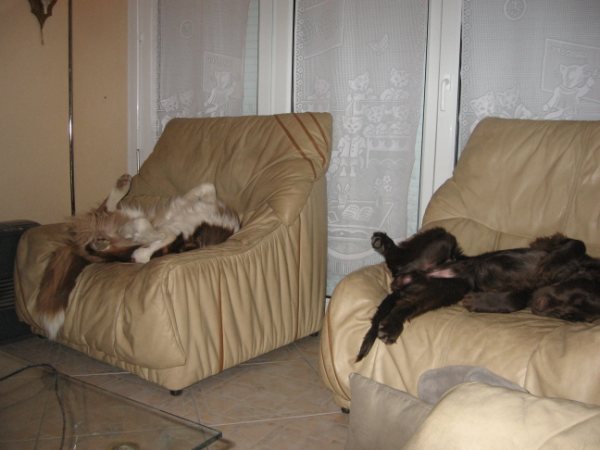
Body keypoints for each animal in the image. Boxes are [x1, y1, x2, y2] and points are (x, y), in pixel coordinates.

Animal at [36, 174, 240, 339]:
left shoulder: (176, 242)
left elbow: (151, 243)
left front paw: (140, 244)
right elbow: (207, 186)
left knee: (112, 232)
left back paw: (108, 238)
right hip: (127, 213)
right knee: (107, 210)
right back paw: (122, 189)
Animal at [356, 228, 600, 361]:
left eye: (571, 317)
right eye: (577, 291)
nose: (540, 308)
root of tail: (407, 278)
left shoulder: (527, 292)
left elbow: (516, 298)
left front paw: (479, 301)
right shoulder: (550, 244)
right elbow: (577, 243)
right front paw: (550, 264)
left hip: (445, 289)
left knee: (407, 304)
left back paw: (391, 326)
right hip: (443, 241)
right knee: (396, 258)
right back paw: (383, 242)